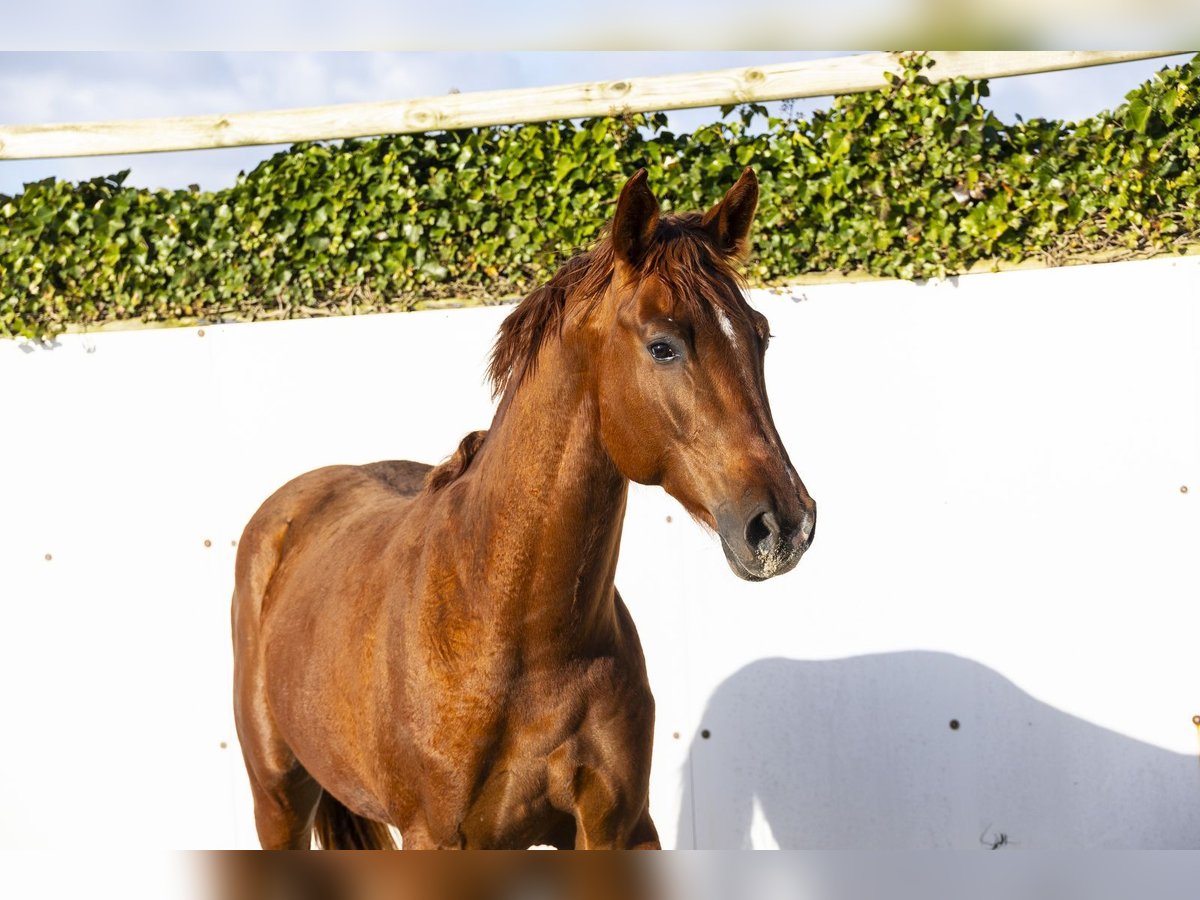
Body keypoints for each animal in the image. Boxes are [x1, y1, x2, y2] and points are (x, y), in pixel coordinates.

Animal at [231, 167, 817, 850]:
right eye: (664, 345)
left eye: (760, 335)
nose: (783, 524)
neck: (516, 632)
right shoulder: (436, 838)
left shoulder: (617, 829)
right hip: (278, 798)